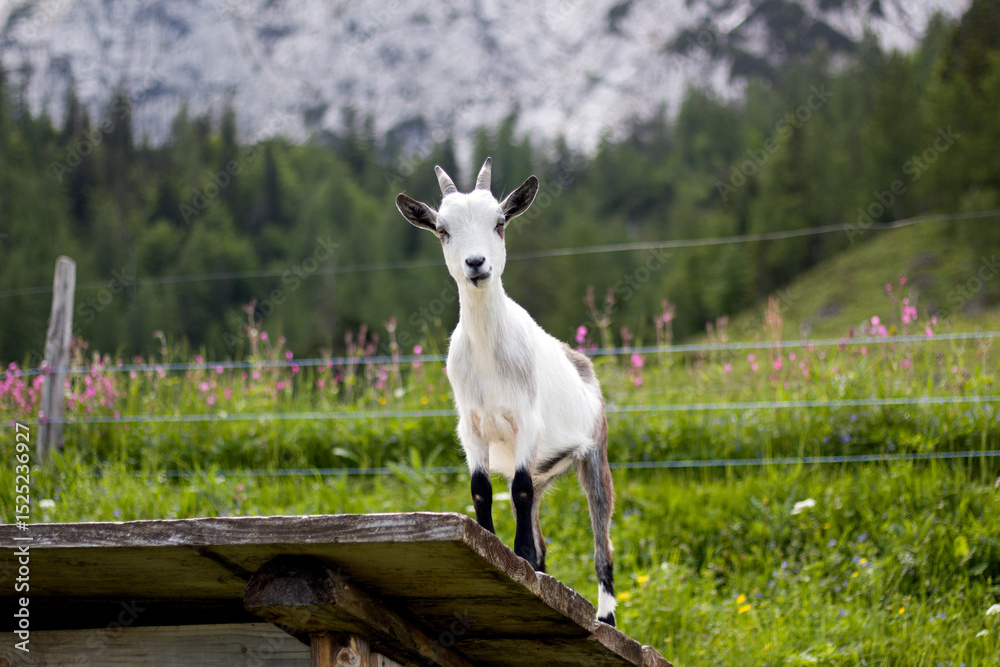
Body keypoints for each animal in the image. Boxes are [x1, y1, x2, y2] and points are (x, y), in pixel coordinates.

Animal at [396, 158, 617, 626]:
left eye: (499, 223)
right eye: (442, 229)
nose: (476, 262)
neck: (488, 360)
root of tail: (581, 363)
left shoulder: (526, 421)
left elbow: (517, 488)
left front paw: (521, 560)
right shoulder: (471, 427)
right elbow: (482, 487)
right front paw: (496, 547)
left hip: (594, 452)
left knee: (600, 537)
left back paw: (605, 617)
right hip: (545, 464)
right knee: (537, 514)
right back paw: (541, 566)